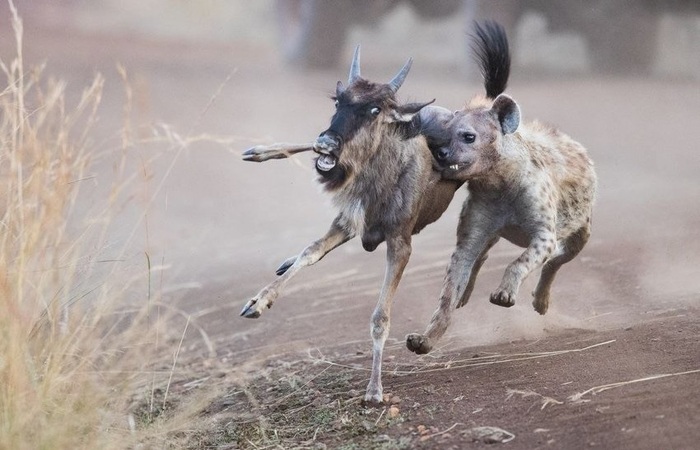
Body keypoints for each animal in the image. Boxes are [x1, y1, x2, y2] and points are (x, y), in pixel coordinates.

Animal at [404, 22, 596, 356]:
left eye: (467, 136)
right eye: (436, 136)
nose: (440, 153)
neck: (499, 185)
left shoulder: (544, 232)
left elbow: (523, 260)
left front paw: (504, 295)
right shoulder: (475, 228)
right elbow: (450, 286)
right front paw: (424, 339)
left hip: (581, 229)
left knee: (558, 259)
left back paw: (541, 301)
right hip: (491, 233)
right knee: (482, 257)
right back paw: (469, 294)